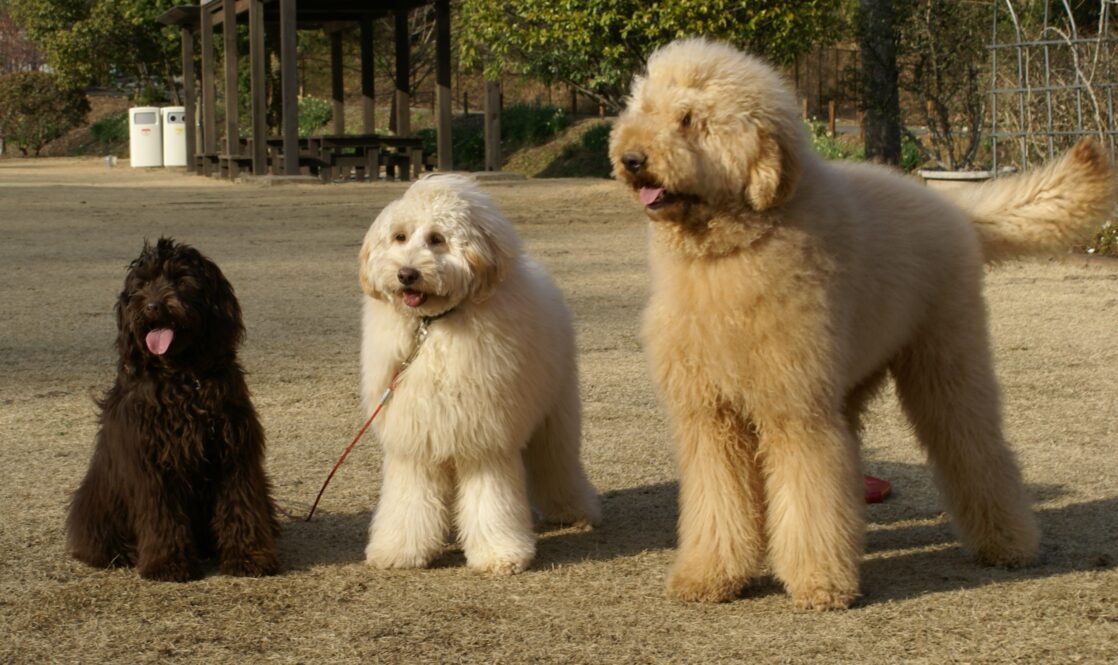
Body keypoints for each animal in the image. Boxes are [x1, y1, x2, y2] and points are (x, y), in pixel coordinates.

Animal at [357, 174, 603, 576]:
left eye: (436, 238)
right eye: (399, 237)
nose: (406, 274)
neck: (434, 326)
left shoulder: (485, 438)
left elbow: (490, 501)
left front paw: (499, 554)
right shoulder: (417, 440)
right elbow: (409, 501)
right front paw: (399, 550)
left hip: (555, 415)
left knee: (558, 463)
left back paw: (575, 509)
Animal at [612, 36, 1118, 608]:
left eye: (689, 119)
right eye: (643, 109)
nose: (631, 159)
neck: (728, 252)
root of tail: (954, 209)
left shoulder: (796, 407)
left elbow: (808, 490)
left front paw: (818, 582)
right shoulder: (709, 414)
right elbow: (718, 499)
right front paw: (709, 575)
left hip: (947, 360)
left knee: (974, 448)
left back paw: (1008, 543)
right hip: (855, 374)